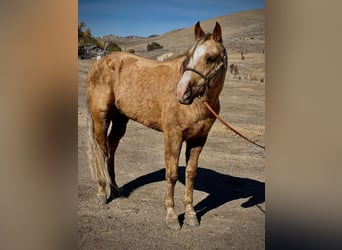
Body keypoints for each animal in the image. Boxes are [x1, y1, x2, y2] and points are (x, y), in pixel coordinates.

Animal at [87, 22, 227, 230]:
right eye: (188, 56)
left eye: (210, 58)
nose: (181, 92)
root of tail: (98, 64)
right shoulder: (173, 136)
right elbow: (172, 175)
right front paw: (171, 216)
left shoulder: (199, 139)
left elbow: (191, 174)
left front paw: (191, 214)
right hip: (100, 119)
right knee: (101, 152)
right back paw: (102, 193)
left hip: (120, 121)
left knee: (111, 151)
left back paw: (115, 189)